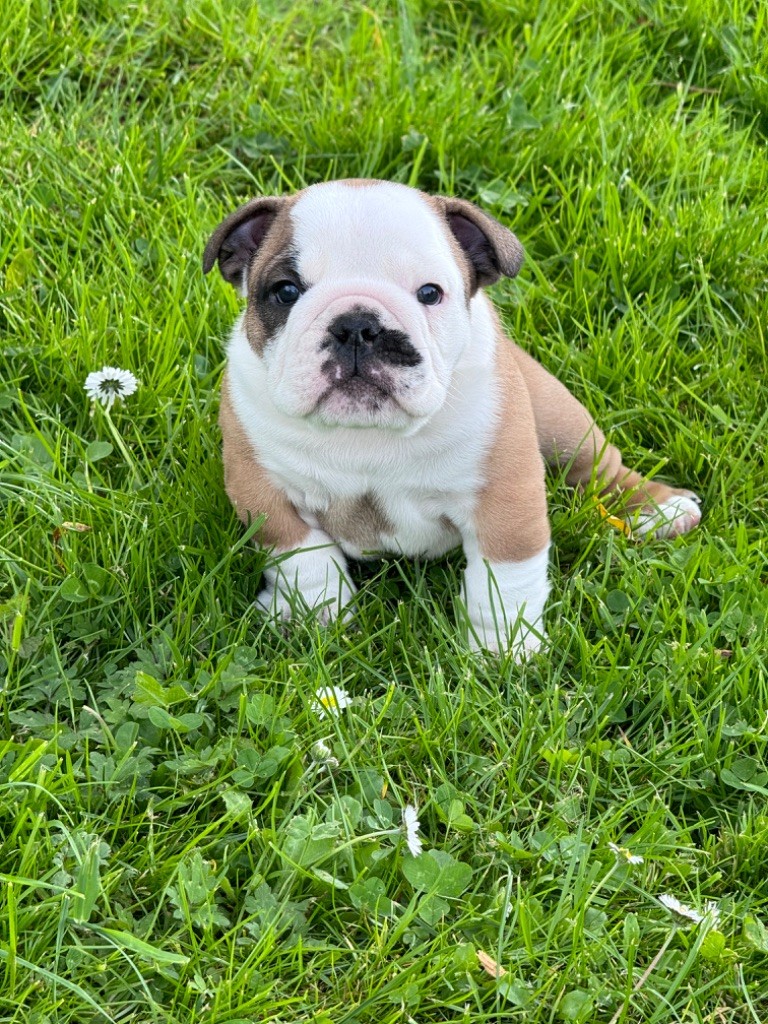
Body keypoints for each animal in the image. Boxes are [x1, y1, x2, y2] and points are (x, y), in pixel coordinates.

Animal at [203, 179, 701, 656]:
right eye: (285, 291)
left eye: (430, 293)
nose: (358, 326)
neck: (367, 433)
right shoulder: (263, 492)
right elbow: (304, 559)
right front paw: (314, 615)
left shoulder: (505, 501)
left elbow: (505, 580)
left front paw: (503, 649)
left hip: (560, 419)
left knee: (600, 468)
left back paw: (659, 509)